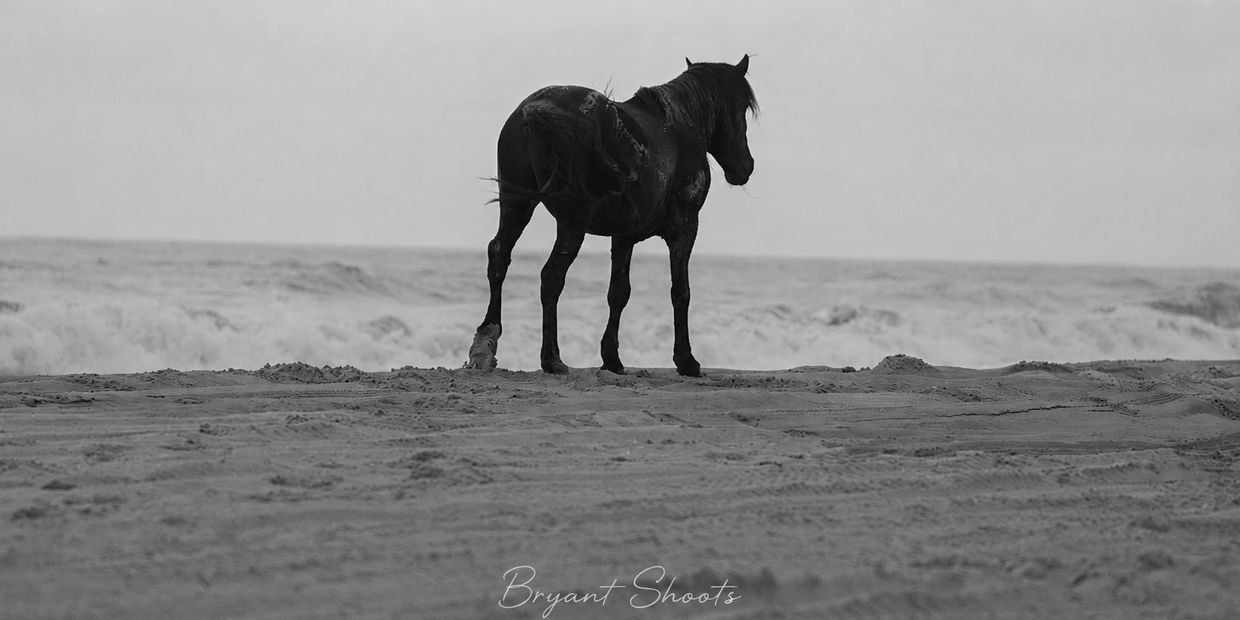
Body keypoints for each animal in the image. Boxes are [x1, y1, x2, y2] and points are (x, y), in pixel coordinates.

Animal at [466, 55, 757, 377]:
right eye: (743, 108)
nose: (746, 167)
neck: (679, 130)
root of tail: (533, 112)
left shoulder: (623, 237)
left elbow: (618, 293)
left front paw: (612, 358)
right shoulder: (685, 228)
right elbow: (680, 292)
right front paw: (686, 360)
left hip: (516, 205)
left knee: (499, 255)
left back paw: (486, 342)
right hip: (571, 223)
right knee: (551, 276)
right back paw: (552, 358)